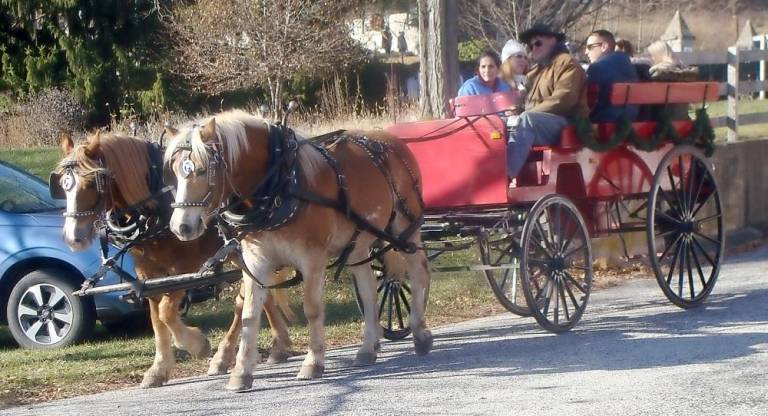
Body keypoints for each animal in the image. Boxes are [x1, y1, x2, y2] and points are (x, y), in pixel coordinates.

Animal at [54, 132, 294, 388]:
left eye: (91, 183)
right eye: (62, 186)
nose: (73, 237)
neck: (156, 206)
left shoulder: (185, 267)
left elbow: (166, 312)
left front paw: (196, 344)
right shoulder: (147, 275)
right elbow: (156, 320)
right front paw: (159, 369)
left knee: (247, 297)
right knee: (256, 293)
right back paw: (266, 348)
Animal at [164, 109, 432, 390]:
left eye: (202, 170)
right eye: (174, 171)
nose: (181, 226)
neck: (278, 187)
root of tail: (392, 140)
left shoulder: (312, 257)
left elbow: (312, 309)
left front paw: (313, 363)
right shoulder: (255, 261)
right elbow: (249, 314)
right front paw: (241, 372)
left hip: (405, 227)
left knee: (418, 270)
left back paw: (420, 333)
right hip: (357, 244)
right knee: (368, 289)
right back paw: (368, 347)